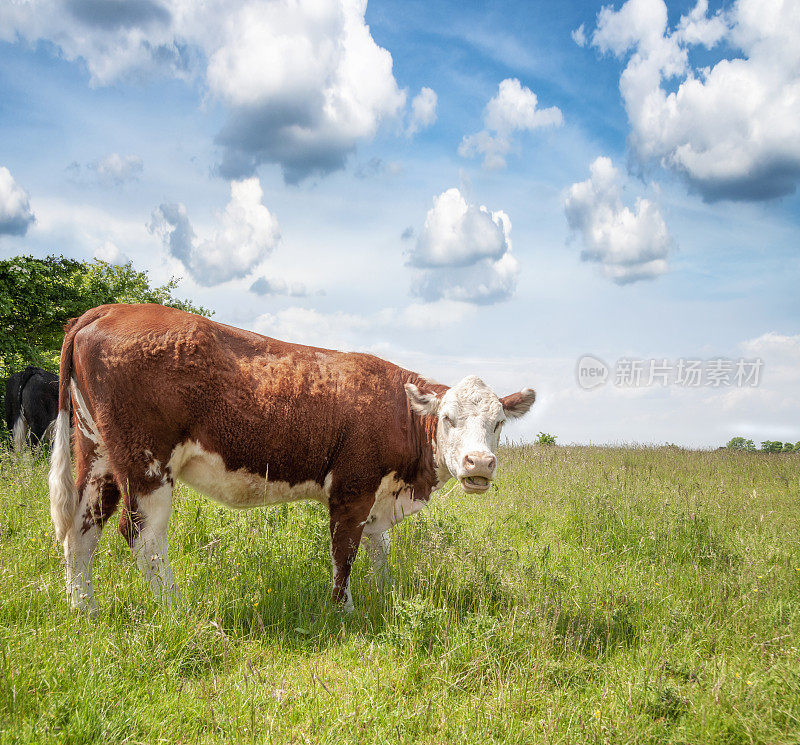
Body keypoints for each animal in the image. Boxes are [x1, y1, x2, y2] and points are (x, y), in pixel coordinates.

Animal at [50, 306, 536, 612]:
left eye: (498, 423)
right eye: (449, 418)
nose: (479, 463)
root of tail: (107, 310)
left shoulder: (379, 495)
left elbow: (380, 550)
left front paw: (384, 594)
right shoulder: (352, 487)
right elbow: (345, 553)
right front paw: (344, 610)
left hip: (98, 454)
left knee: (81, 531)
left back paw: (84, 611)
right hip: (146, 460)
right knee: (143, 537)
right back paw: (179, 611)